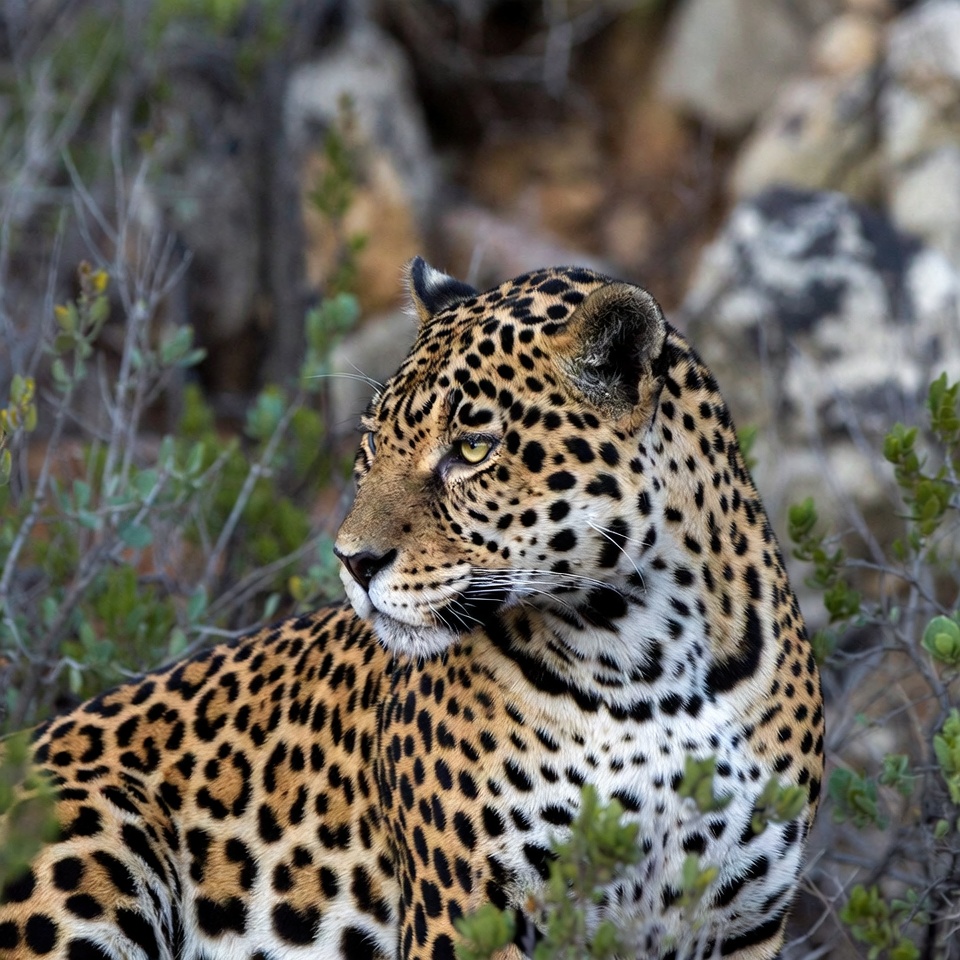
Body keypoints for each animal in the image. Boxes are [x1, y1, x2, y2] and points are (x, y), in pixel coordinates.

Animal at [0, 258, 823, 960]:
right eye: (372, 442)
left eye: (473, 448)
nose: (352, 561)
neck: (646, 657)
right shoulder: (472, 911)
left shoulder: (744, 923)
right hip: (99, 829)